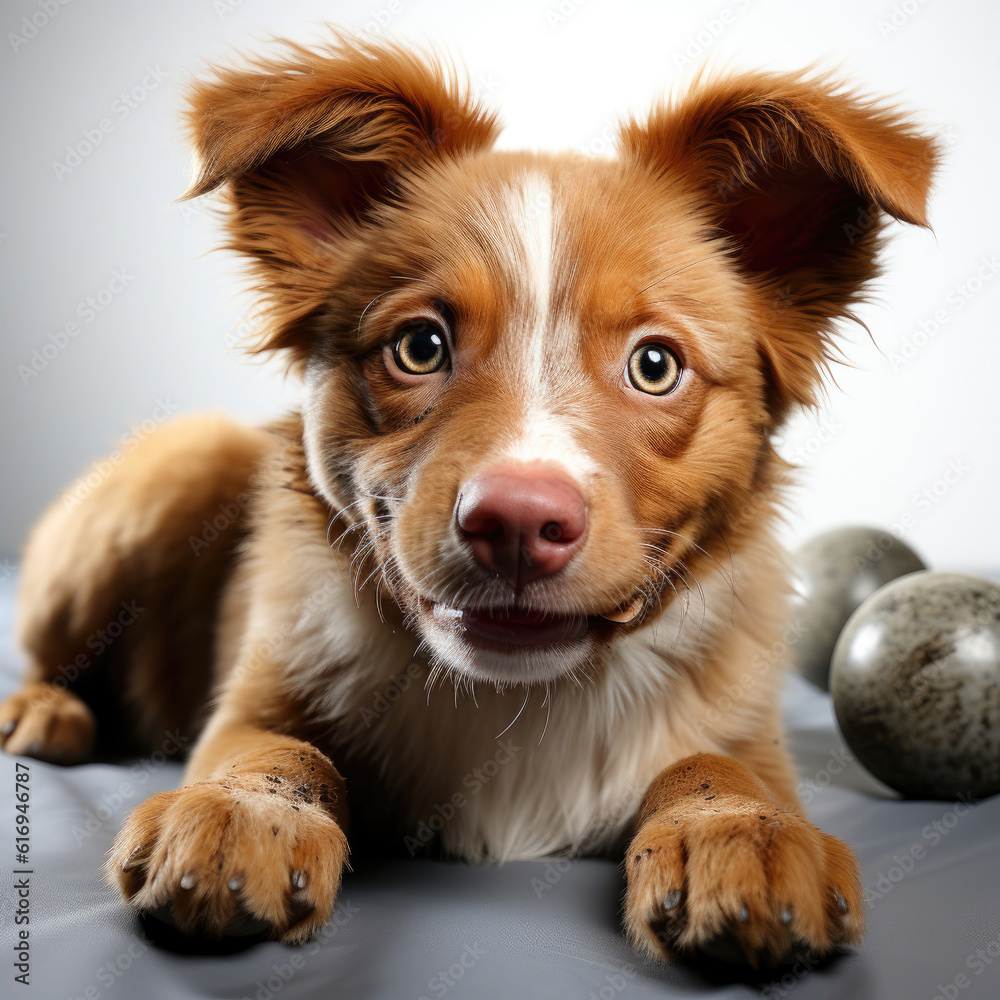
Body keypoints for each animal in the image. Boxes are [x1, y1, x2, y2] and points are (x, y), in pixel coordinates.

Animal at [0, 39, 936, 968]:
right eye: (420, 346)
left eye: (655, 365)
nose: (517, 522)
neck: (520, 701)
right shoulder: (252, 697)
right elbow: (280, 749)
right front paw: (243, 813)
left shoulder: (749, 729)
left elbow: (717, 768)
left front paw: (743, 833)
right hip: (165, 476)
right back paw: (42, 709)